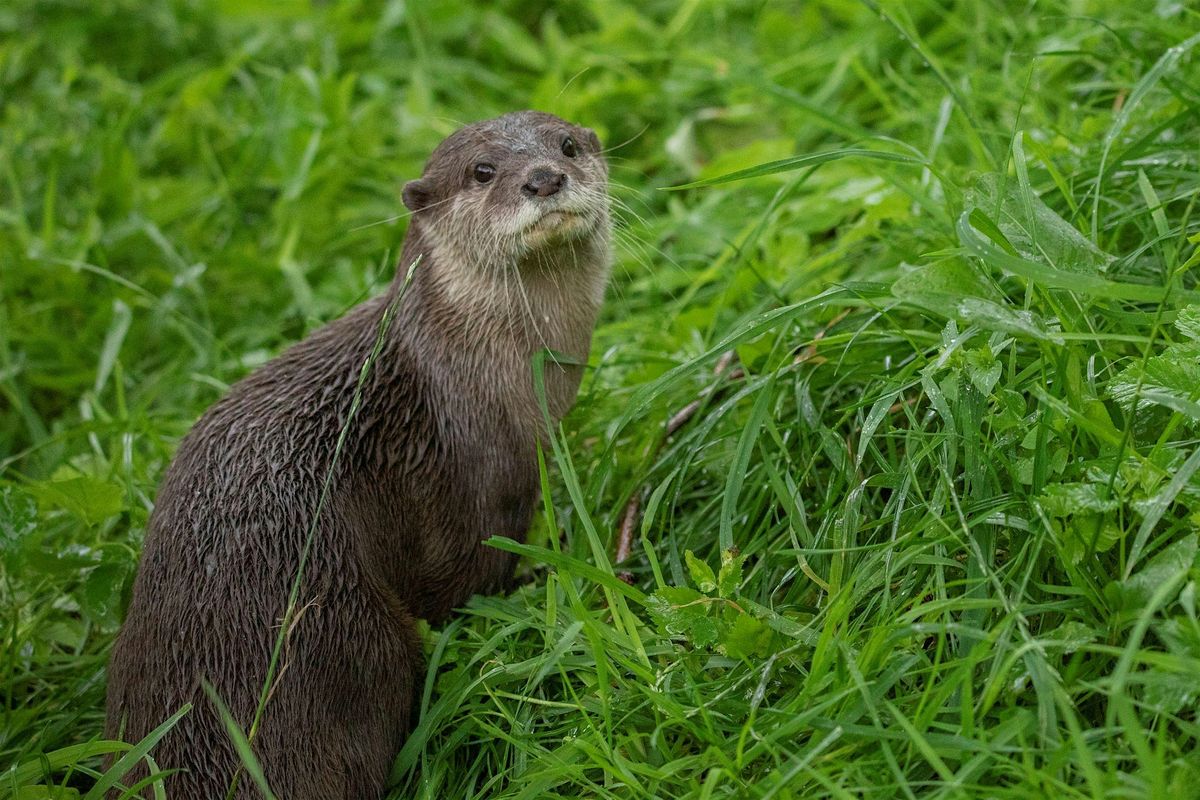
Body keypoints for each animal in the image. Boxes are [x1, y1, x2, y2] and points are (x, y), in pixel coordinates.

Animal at [105, 110, 609, 800]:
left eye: (567, 145)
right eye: (482, 171)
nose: (543, 178)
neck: (460, 373)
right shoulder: (479, 484)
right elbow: (462, 582)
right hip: (351, 634)